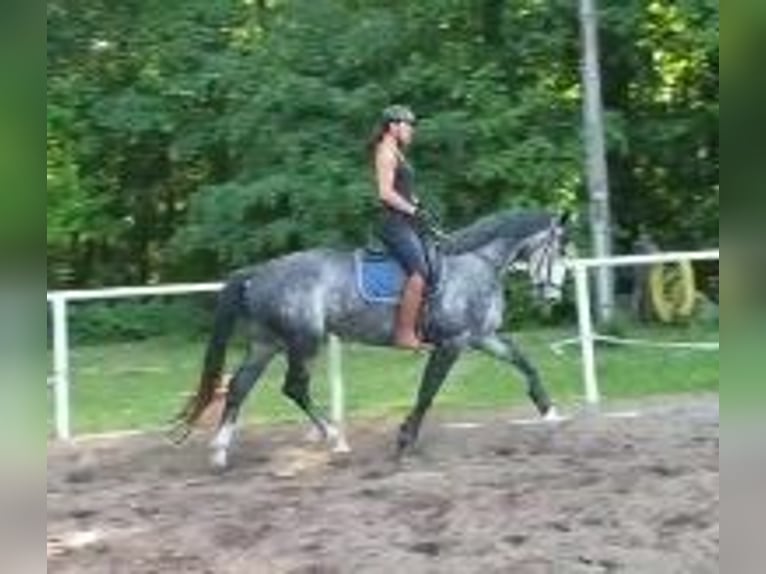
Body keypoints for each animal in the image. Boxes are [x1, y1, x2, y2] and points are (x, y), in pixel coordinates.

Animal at [172, 209, 568, 470]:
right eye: (560, 251)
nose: (551, 297)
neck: (477, 263)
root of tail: (259, 273)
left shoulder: (481, 337)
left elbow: (524, 362)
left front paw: (549, 412)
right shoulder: (452, 343)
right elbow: (428, 392)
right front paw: (404, 441)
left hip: (267, 343)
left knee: (240, 386)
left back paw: (220, 452)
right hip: (304, 341)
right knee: (293, 387)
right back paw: (333, 437)